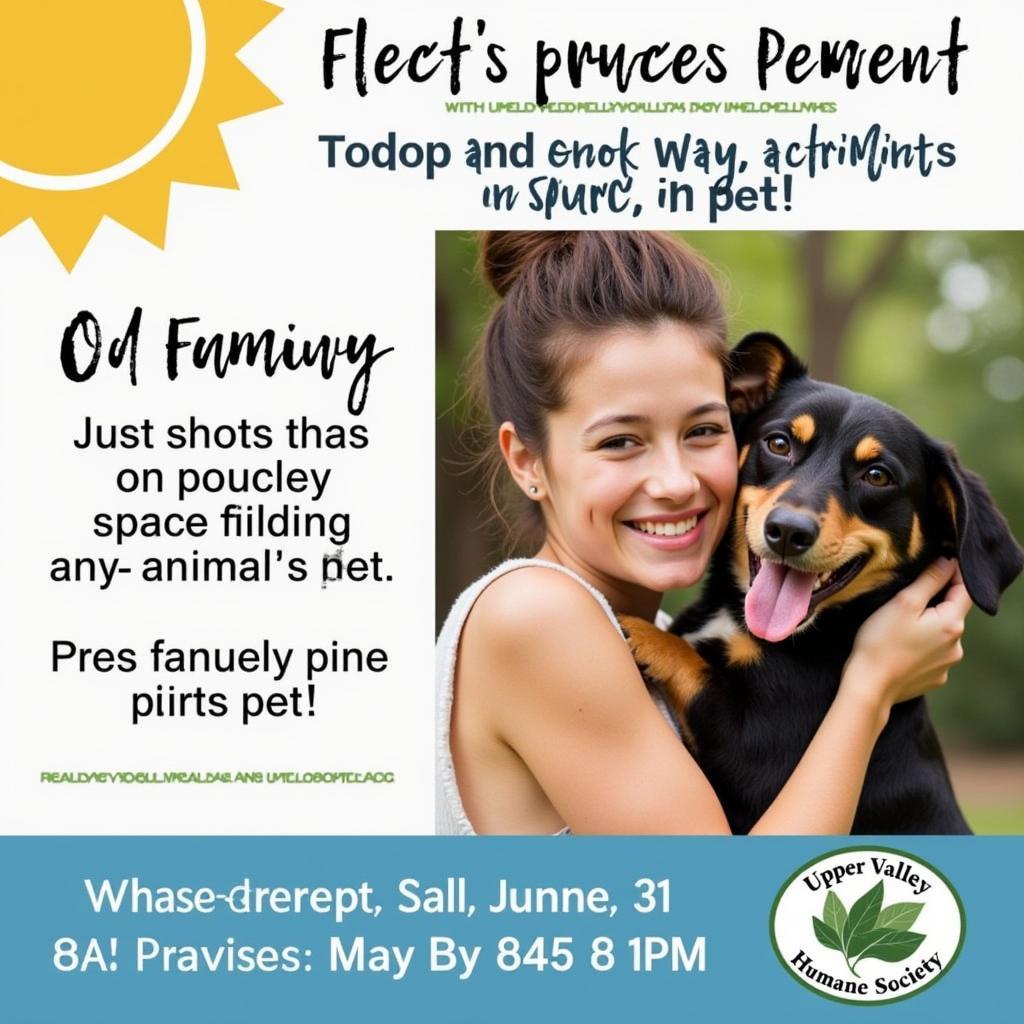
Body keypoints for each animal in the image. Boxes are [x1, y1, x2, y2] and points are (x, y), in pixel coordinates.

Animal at [622, 333, 1024, 831]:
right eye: (779, 443)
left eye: (877, 475)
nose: (788, 531)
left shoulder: (758, 748)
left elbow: (693, 665)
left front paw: (637, 629)